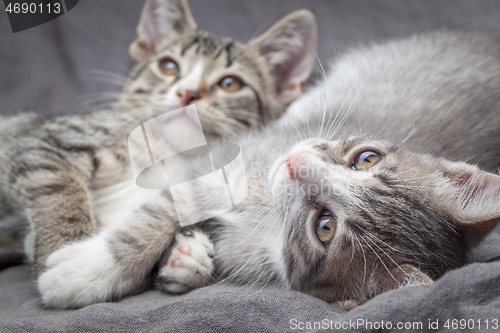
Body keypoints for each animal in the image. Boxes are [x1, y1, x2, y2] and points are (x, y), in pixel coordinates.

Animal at [0, 0, 316, 306]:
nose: (187, 92)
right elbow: (54, 182)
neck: (171, 154)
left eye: (230, 84)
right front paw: (60, 248)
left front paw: (186, 257)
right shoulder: (42, 139)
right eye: (168, 66)